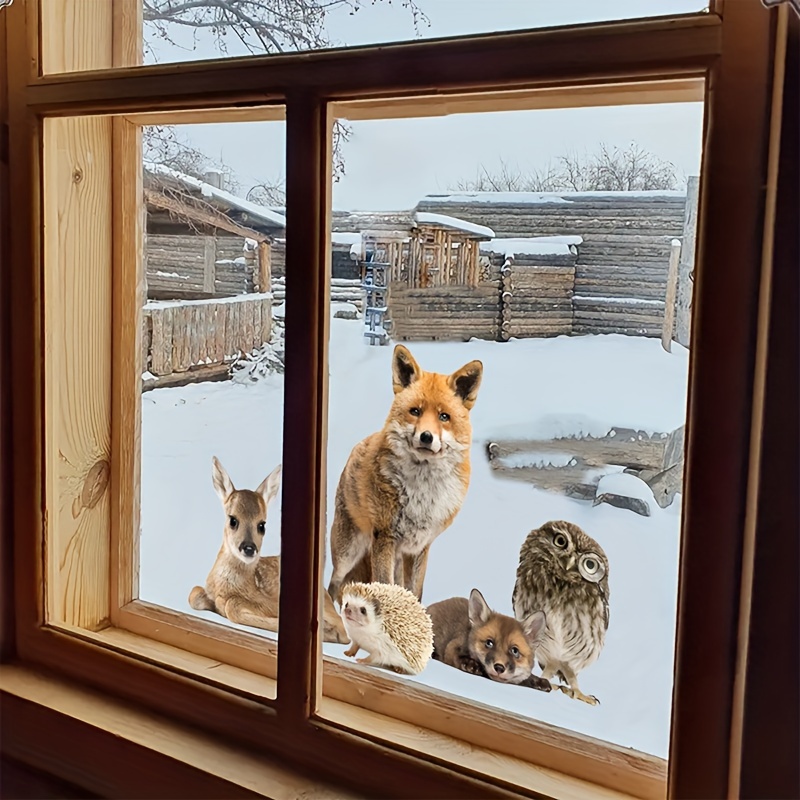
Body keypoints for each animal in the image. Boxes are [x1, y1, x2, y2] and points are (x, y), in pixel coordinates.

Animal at [189, 456, 348, 643]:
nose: (249, 548)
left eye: (262, 525)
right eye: (233, 520)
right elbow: (194, 593)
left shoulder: (269, 601)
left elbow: (232, 606)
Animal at [328, 344, 483, 605]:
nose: (426, 437)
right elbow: (385, 588)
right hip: (348, 551)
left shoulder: (420, 546)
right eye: (415, 411)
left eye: (444, 417)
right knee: (333, 584)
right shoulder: (384, 538)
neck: (423, 493)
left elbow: (414, 593)